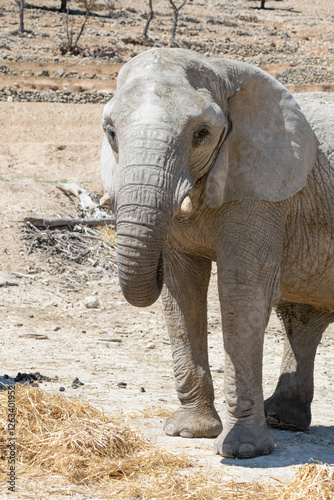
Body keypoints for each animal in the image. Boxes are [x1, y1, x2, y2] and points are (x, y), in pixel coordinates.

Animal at [100, 48, 334, 458]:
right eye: (111, 132)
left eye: (201, 134)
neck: (224, 73)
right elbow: (183, 288)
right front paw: (189, 432)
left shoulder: (261, 190)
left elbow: (241, 291)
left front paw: (244, 450)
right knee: (303, 317)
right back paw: (283, 420)